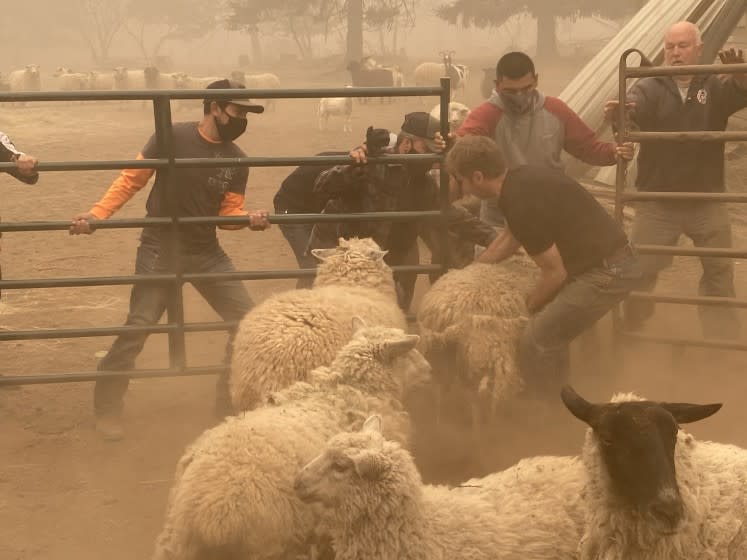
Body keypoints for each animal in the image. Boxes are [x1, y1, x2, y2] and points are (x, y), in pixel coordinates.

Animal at [152, 320, 430, 560]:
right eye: (407, 353)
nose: (428, 368)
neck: (352, 388)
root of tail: (209, 510)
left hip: (174, 544)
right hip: (272, 546)